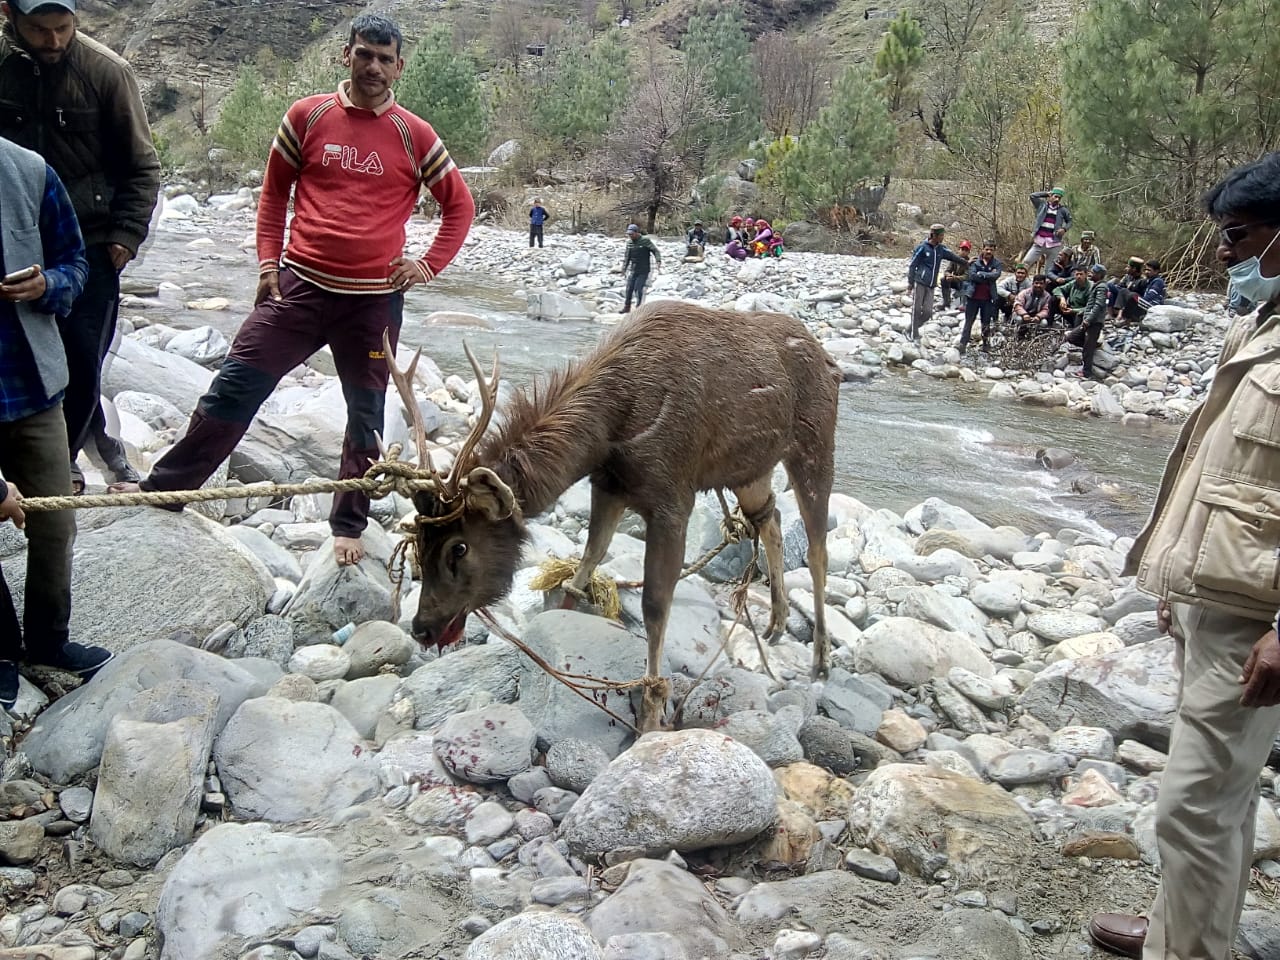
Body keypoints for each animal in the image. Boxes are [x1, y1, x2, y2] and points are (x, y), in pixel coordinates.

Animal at [384, 304, 844, 732]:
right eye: (418, 543)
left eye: (459, 546)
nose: (421, 627)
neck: (609, 433)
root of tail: (831, 362)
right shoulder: (607, 486)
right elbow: (586, 563)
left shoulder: (673, 497)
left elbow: (655, 605)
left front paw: (652, 713)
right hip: (751, 470)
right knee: (772, 517)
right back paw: (776, 623)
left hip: (815, 445)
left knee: (817, 549)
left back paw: (821, 658)